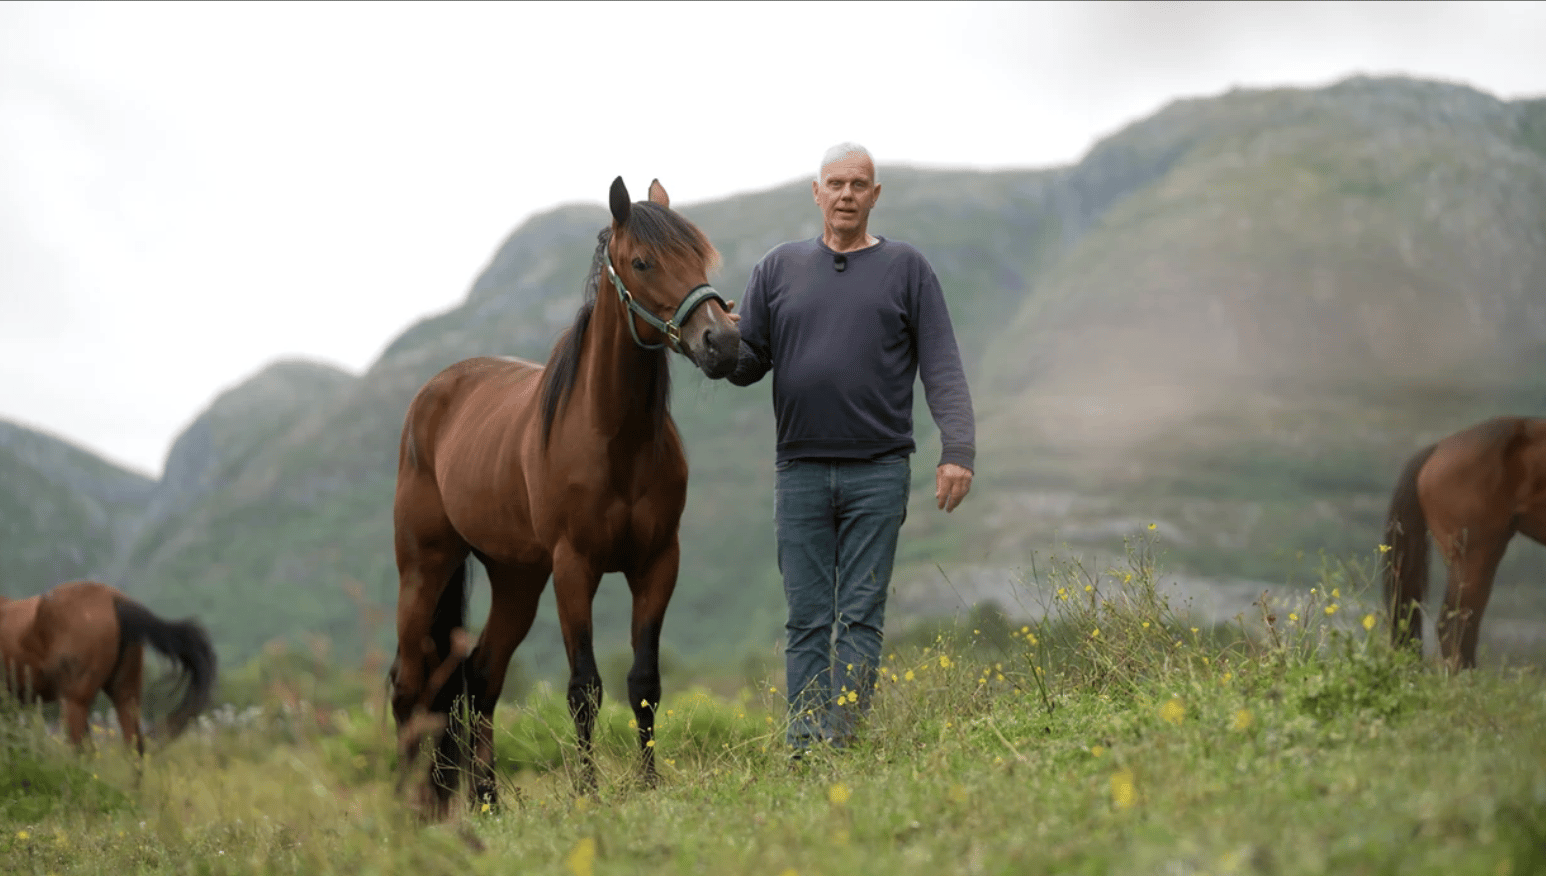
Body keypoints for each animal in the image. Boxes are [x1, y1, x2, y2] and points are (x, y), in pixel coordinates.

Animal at [388, 176, 739, 812]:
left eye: (701, 256)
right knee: (409, 686)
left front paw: (648, 783)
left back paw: (487, 801)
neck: (613, 438)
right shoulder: (575, 568)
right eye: (642, 261)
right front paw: (589, 792)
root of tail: (433, 396)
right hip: (425, 568)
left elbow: (643, 683)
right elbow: (584, 688)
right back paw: (414, 809)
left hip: (516, 578)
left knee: (480, 676)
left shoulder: (657, 564)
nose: (722, 341)